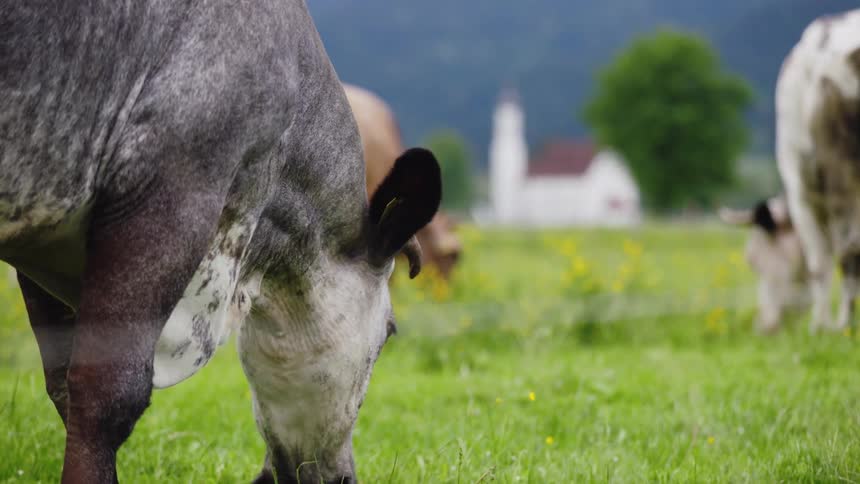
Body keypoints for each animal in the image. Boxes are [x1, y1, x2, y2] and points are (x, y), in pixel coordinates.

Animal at [0, 2, 441, 483]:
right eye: (391, 330)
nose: (343, 475)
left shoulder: (45, 241)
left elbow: (62, 384)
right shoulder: (176, 192)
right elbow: (108, 393)